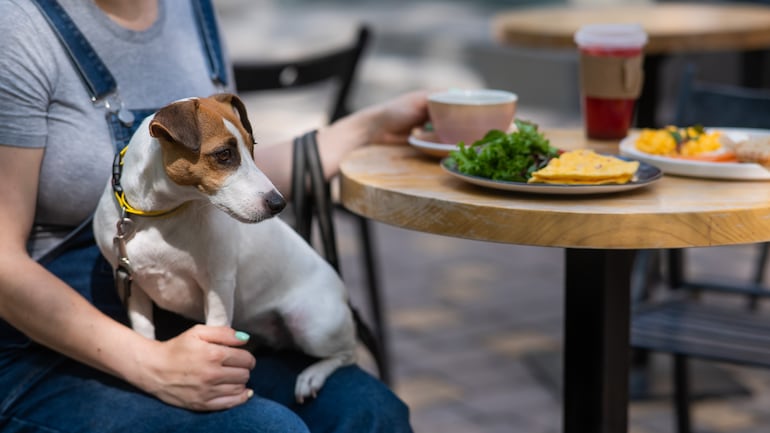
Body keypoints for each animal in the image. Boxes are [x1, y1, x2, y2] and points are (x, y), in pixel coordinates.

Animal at [92, 93, 354, 400]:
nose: (279, 203)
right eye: (224, 154)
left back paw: (311, 376)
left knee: (346, 354)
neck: (158, 216)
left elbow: (217, 332)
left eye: (252, 147)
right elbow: (144, 331)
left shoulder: (217, 285)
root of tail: (344, 294)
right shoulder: (132, 284)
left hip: (312, 326)